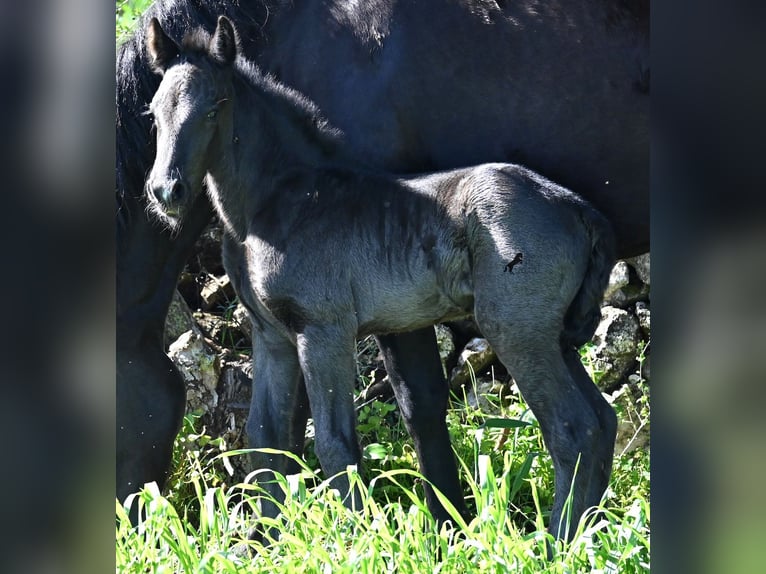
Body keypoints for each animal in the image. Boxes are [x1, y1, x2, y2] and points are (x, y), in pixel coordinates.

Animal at [116, 0, 648, 528]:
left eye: (214, 108)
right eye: (155, 114)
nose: (166, 191)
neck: (280, 200)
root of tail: (577, 208)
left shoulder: (325, 330)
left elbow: (337, 444)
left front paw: (356, 534)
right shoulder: (272, 336)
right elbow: (266, 441)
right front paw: (270, 535)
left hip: (516, 330)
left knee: (572, 428)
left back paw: (556, 538)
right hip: (550, 333)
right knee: (601, 424)